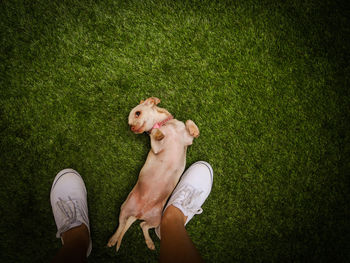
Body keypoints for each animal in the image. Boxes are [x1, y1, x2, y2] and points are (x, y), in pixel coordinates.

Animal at [106, 97, 200, 252]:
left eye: (137, 113)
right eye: (129, 124)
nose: (132, 129)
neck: (165, 125)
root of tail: (139, 213)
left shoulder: (188, 140)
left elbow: (188, 121)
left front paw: (193, 129)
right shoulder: (156, 148)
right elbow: (154, 133)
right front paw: (157, 132)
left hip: (156, 220)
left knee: (143, 225)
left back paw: (149, 242)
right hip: (124, 209)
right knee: (121, 226)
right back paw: (113, 239)